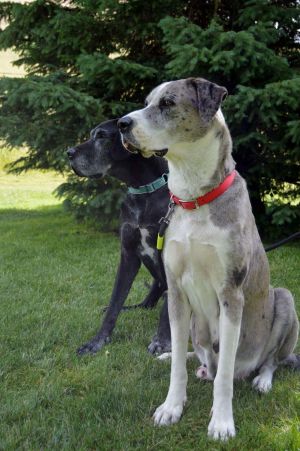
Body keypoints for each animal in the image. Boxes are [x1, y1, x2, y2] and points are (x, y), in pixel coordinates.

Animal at [67, 120, 171, 356]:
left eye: (102, 136)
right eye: (91, 134)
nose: (68, 153)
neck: (144, 192)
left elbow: (168, 309)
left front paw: (161, 341)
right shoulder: (128, 254)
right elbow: (115, 301)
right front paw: (97, 341)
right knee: (150, 299)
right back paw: (133, 307)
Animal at [118, 78, 298, 442]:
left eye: (168, 103)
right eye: (147, 101)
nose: (121, 124)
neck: (194, 198)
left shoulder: (230, 295)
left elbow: (225, 374)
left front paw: (222, 422)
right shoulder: (175, 291)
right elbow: (177, 367)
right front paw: (171, 406)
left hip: (285, 300)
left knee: (270, 360)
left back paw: (262, 379)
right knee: (194, 356)